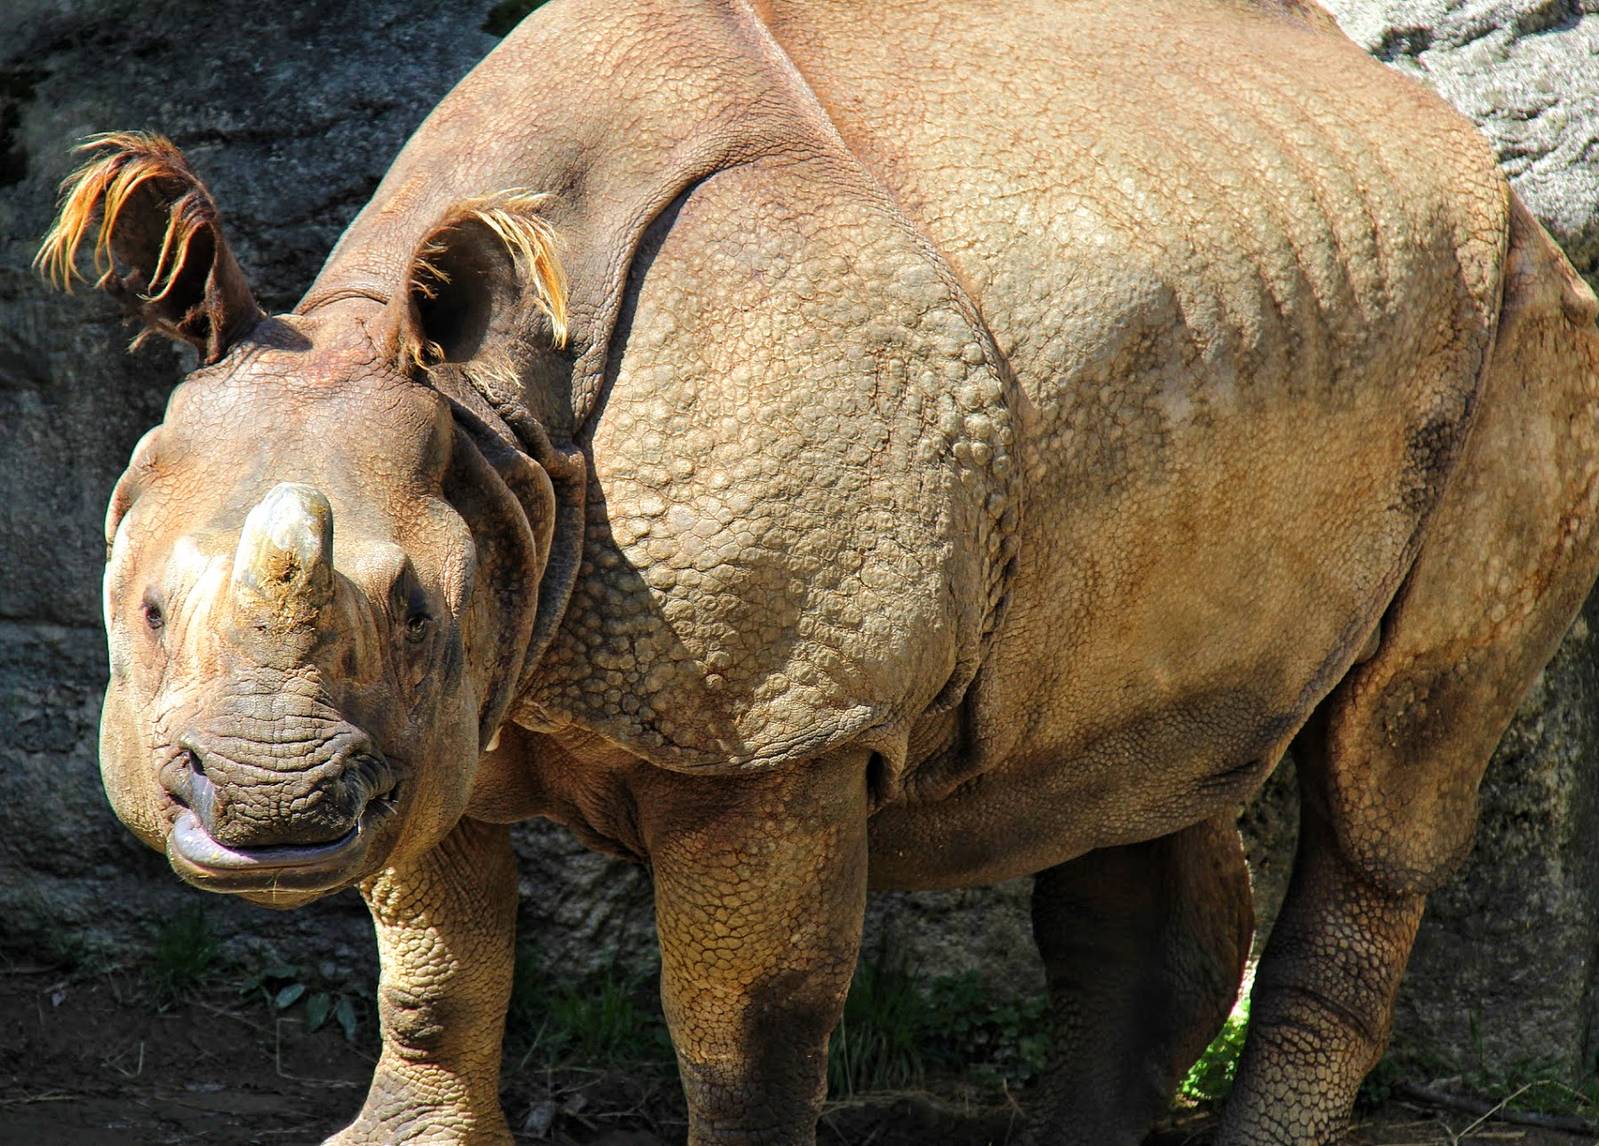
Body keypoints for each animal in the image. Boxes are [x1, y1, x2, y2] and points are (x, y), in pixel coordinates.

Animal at [39, 0, 1599, 1142]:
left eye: (414, 608)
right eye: (149, 608)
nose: (268, 803)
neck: (500, 423)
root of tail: (1476, 166)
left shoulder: (776, 729)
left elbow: (740, 1021)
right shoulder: (445, 715)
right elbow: (434, 965)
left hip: (1524, 329)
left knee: (1387, 771)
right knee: (1131, 751)